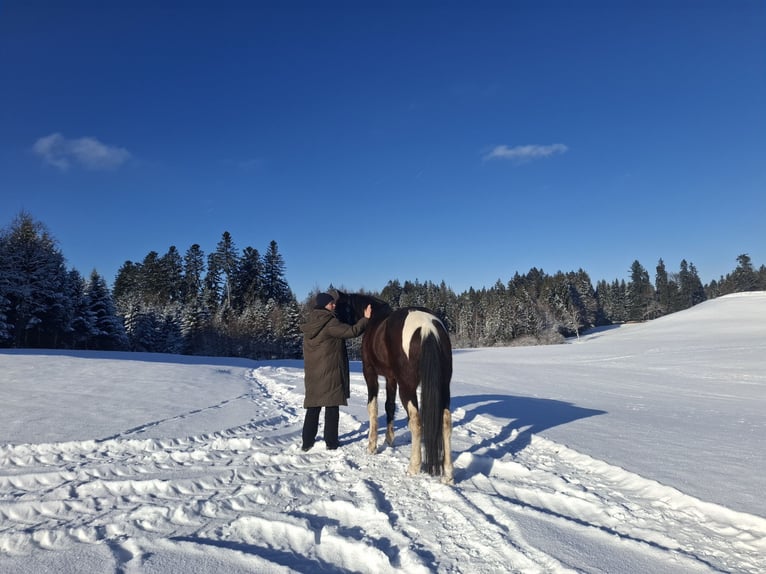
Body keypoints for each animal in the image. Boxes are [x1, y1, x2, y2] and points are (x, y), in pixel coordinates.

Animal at [333, 291, 454, 484]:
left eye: (337, 309)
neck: (374, 318)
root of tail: (427, 327)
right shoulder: (391, 378)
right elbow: (389, 406)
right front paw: (389, 440)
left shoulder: (370, 373)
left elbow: (373, 407)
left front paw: (372, 446)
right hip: (443, 386)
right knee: (446, 422)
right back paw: (448, 474)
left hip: (408, 387)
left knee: (416, 422)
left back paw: (413, 467)